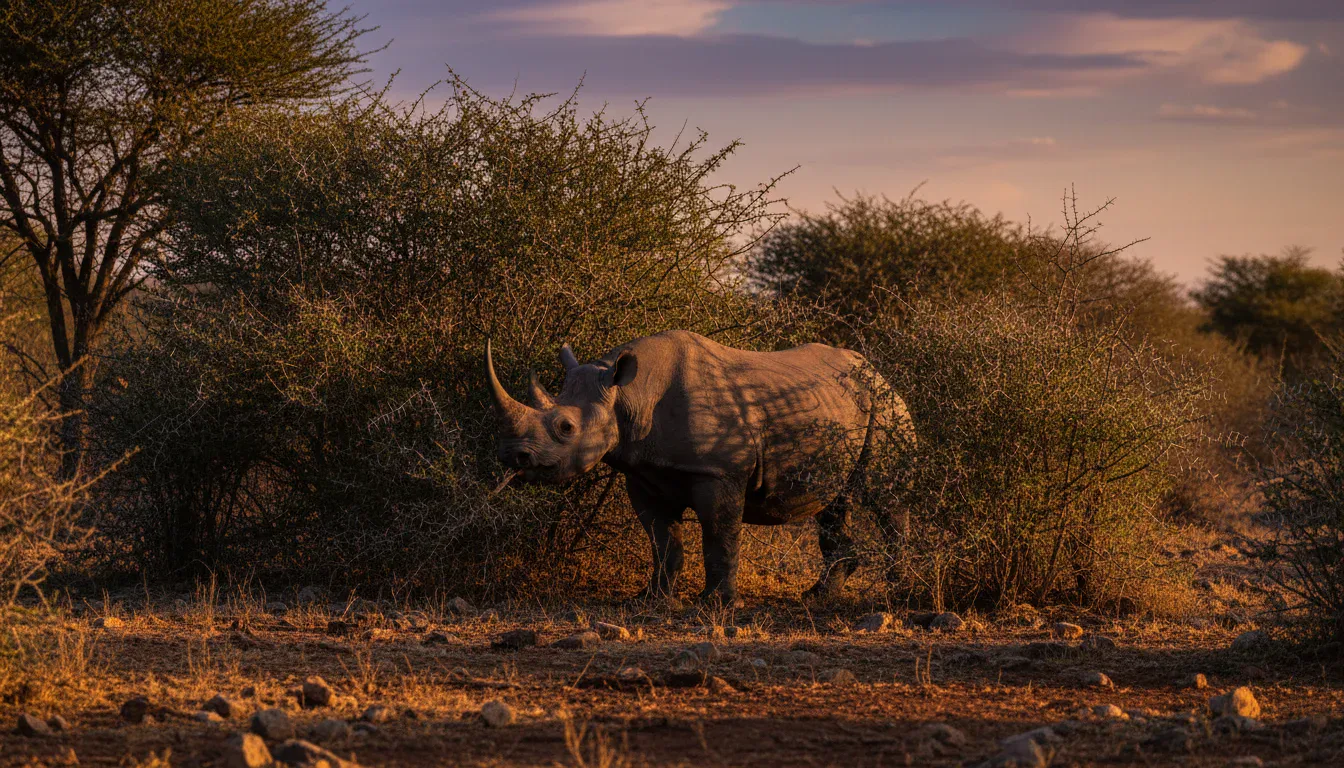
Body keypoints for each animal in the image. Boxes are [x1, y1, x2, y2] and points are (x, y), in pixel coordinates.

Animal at [485, 330, 913, 607]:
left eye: (566, 428)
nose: (511, 456)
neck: (628, 394)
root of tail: (880, 373)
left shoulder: (717, 471)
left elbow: (719, 534)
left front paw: (715, 603)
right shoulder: (643, 473)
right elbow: (662, 539)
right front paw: (650, 598)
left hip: (888, 409)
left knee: (886, 499)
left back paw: (901, 591)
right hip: (845, 408)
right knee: (834, 502)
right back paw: (817, 597)